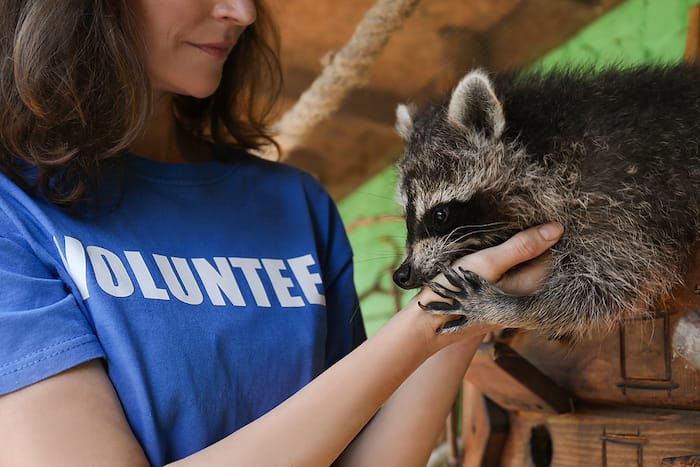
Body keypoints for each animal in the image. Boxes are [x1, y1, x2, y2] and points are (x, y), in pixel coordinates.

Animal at [394, 64, 700, 338]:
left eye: (440, 215)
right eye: (406, 216)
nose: (401, 274)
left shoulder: (622, 200)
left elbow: (612, 284)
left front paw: (511, 308)